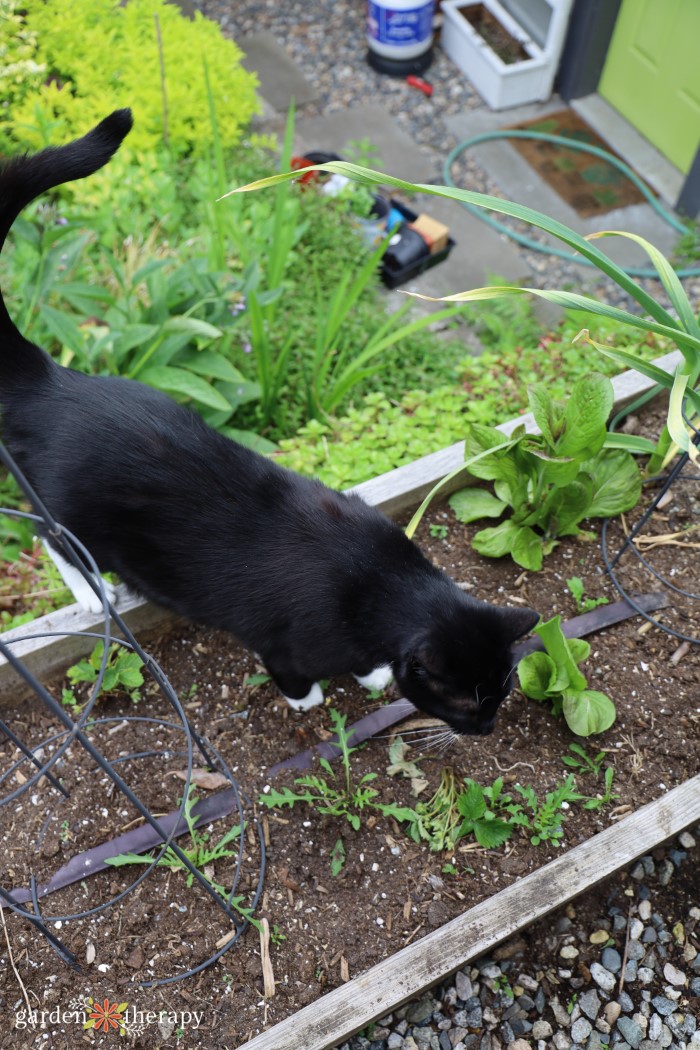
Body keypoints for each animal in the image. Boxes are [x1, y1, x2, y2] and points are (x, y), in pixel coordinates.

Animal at [0, 106, 541, 730]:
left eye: (503, 688)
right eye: (466, 701)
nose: (487, 727)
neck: (384, 581)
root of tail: (50, 380)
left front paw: (373, 674)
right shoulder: (285, 644)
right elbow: (298, 672)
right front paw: (316, 696)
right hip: (71, 515)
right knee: (48, 536)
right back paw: (91, 592)